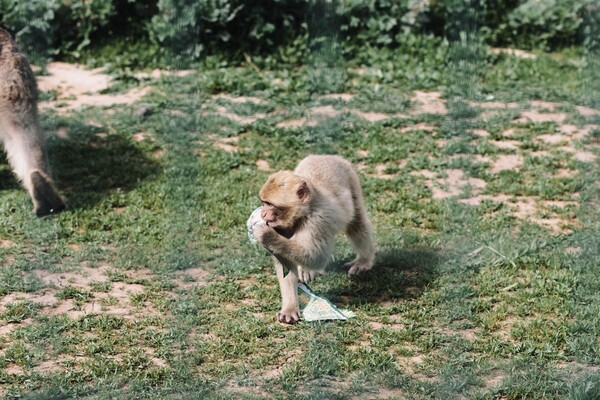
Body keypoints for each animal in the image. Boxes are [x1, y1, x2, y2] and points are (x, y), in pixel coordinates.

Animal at [253, 155, 376, 324]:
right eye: (264, 203)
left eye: (270, 205)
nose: (263, 214)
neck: (303, 213)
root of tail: (327, 156)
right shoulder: (283, 227)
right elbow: (286, 264)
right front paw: (290, 308)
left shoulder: (318, 221)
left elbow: (317, 257)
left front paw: (266, 236)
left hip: (351, 177)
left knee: (357, 222)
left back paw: (364, 260)